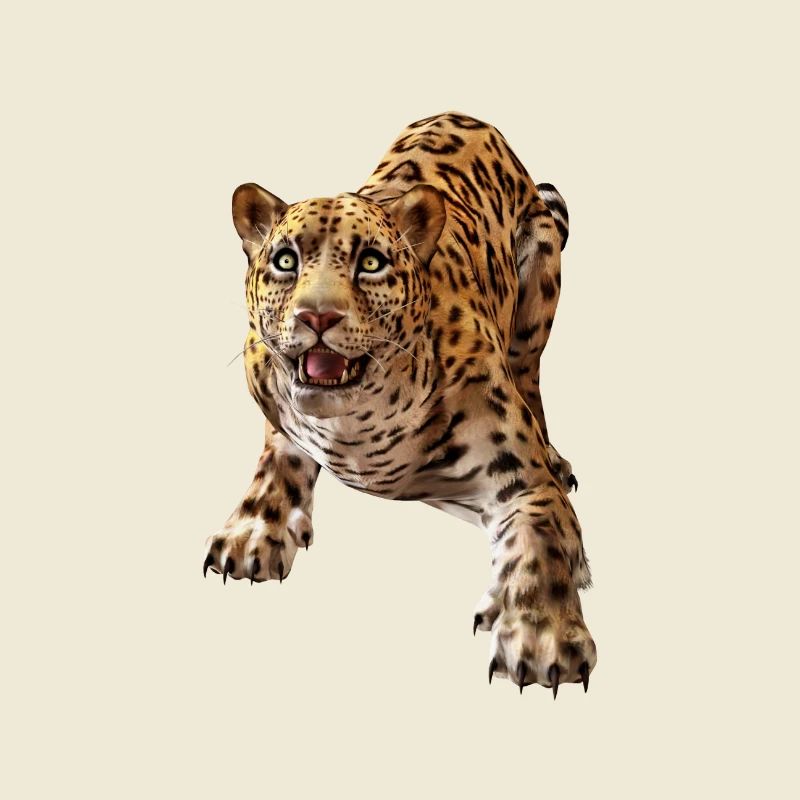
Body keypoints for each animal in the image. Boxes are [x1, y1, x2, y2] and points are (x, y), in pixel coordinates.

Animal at [203, 112, 596, 695]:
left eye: (371, 262)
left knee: (532, 380)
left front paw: (542, 635)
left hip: (538, 293)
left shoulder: (522, 480)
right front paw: (252, 530)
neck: (356, 427)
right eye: (284, 260)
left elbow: (542, 538)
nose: (317, 316)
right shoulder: (275, 407)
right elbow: (276, 460)